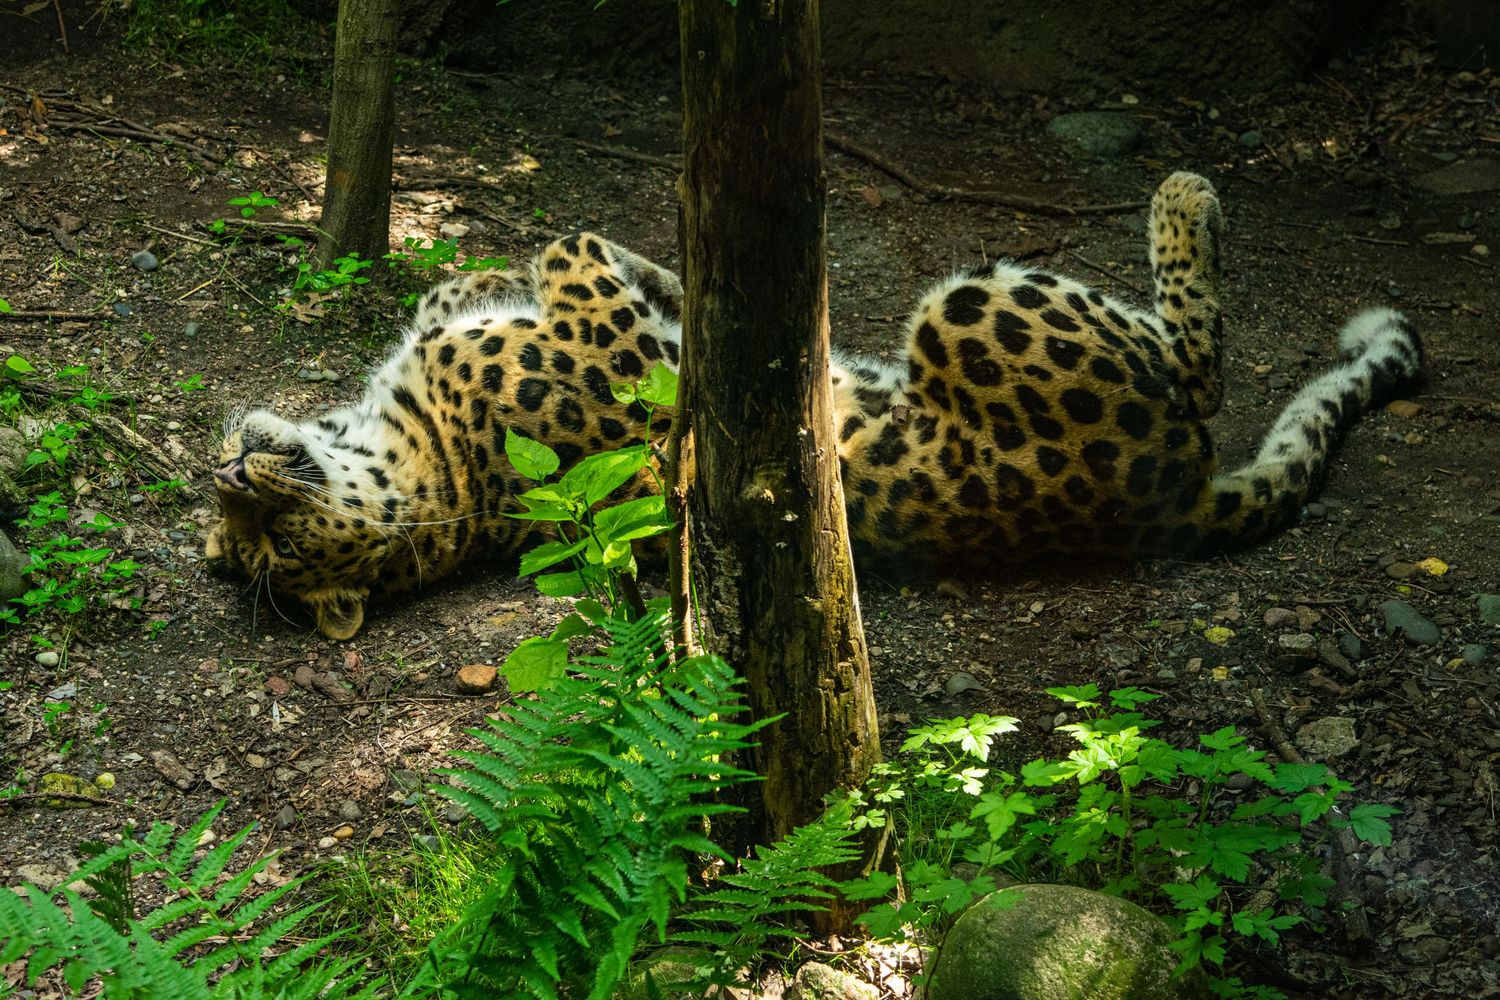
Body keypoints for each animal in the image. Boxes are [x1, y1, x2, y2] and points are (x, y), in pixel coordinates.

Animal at [206, 172, 1422, 639]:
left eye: (235, 537)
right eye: (270, 549)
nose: (225, 472)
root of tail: (1166, 502)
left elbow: (521, 269)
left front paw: (664, 275)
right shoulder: (599, 349)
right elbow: (573, 252)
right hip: (976, 309)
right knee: (1200, 368)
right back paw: (1185, 196)